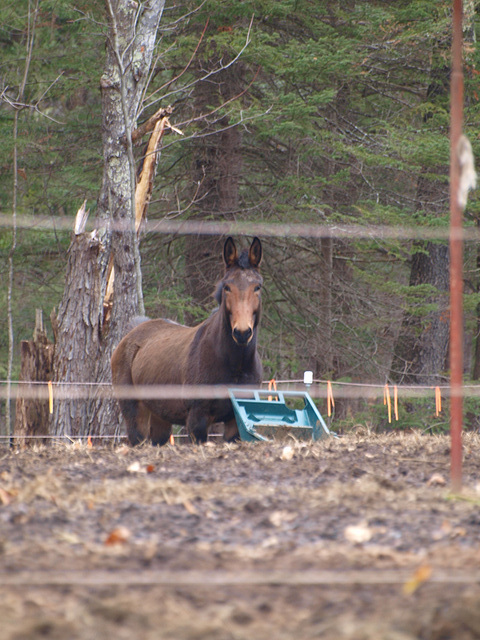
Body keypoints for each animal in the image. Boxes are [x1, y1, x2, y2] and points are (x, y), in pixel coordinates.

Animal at [111, 236, 264, 444]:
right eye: (227, 287)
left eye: (257, 287)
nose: (242, 332)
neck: (235, 366)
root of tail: (131, 333)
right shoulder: (197, 419)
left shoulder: (236, 421)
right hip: (136, 415)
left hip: (160, 418)